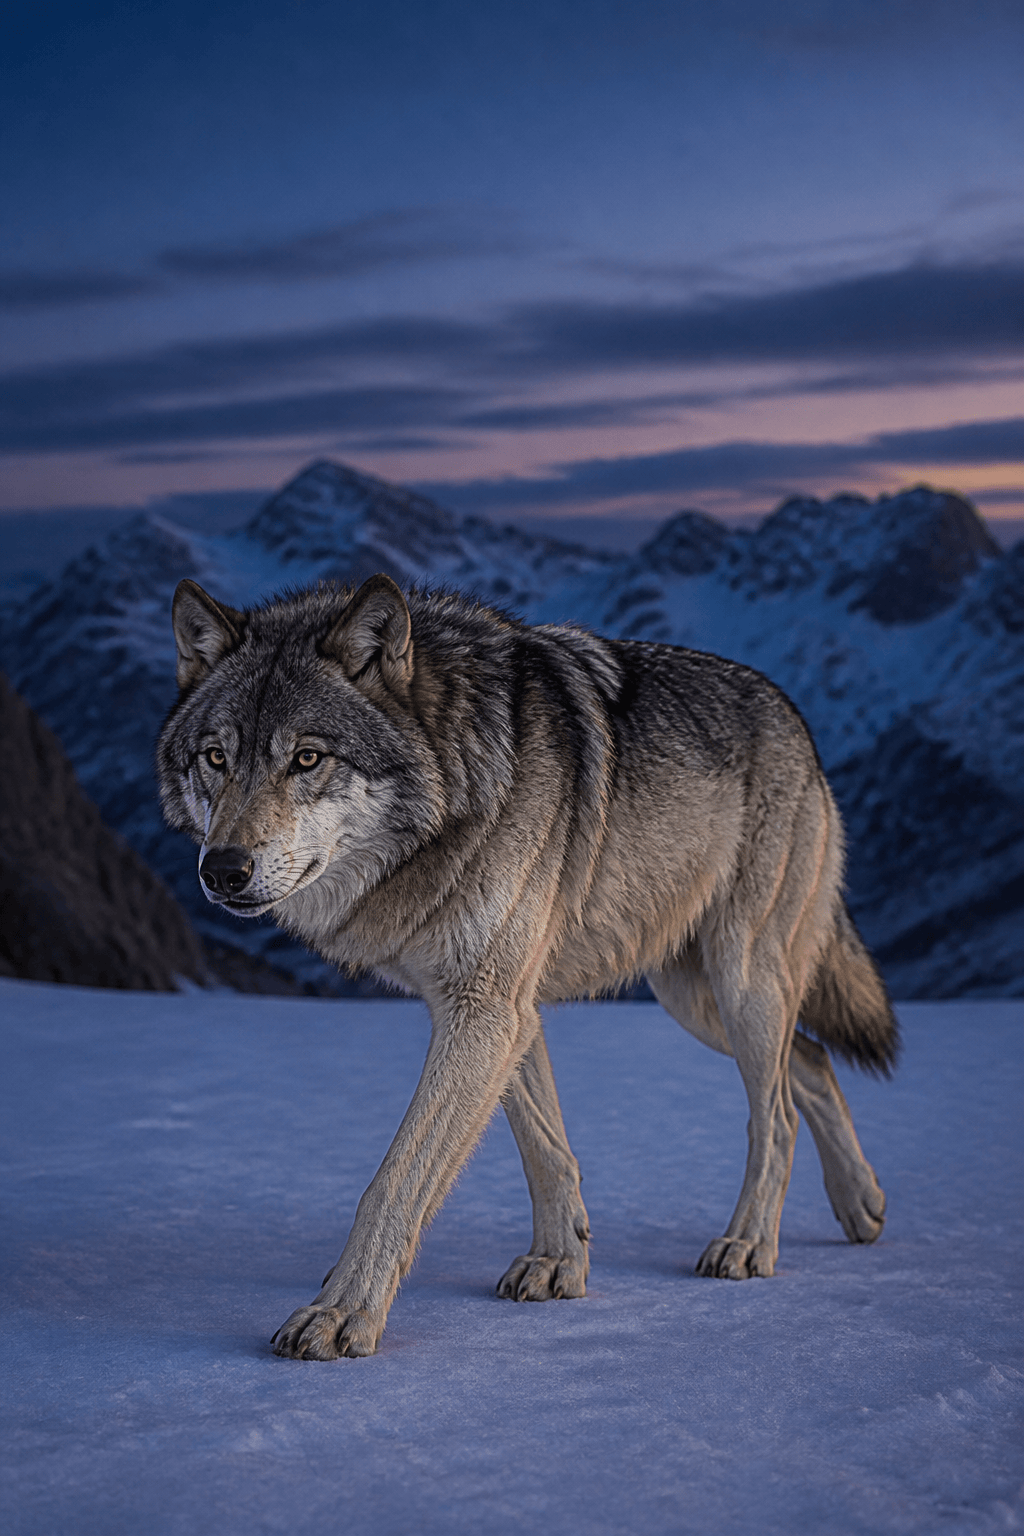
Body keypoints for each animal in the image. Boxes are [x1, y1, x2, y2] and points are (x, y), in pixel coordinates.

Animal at [157, 573, 898, 1360]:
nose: (223, 870)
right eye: (215, 758)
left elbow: (395, 1180)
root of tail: (796, 717)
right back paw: (862, 1203)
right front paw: (559, 1263)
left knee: (777, 1112)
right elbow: (545, 1146)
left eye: (306, 758)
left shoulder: (487, 1008)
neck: (459, 787)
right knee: (813, 1061)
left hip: (739, 980)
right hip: (694, 999)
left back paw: (750, 1244)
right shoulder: (500, 1009)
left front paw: (340, 1312)